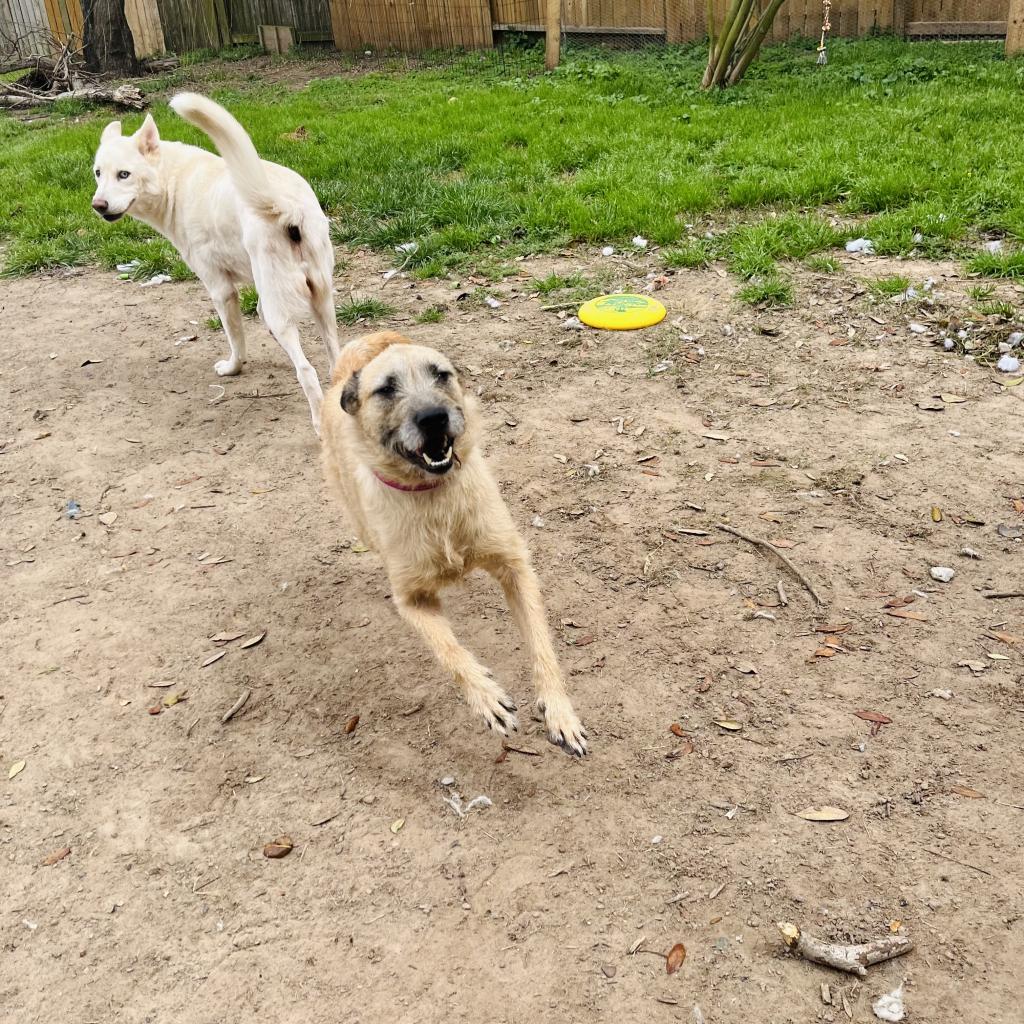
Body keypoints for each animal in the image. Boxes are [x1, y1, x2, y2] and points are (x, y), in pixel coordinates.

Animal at [91, 92, 335, 432]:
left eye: (124, 174)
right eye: (98, 173)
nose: (98, 205)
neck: (172, 180)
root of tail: (282, 205)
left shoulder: (221, 290)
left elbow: (236, 339)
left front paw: (233, 368)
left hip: (285, 310)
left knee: (307, 371)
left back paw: (319, 421)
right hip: (323, 301)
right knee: (336, 358)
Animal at [323, 331, 589, 757]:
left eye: (441, 374)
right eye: (386, 389)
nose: (433, 418)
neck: (434, 497)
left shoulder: (515, 566)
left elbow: (542, 645)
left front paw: (559, 712)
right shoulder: (411, 600)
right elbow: (449, 651)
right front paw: (486, 696)